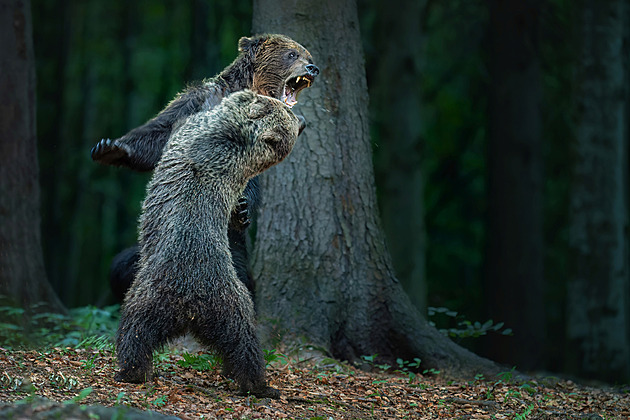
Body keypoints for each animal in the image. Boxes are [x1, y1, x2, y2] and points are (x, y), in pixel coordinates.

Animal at [92, 34, 320, 300]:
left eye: (308, 55)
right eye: (292, 54)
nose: (312, 68)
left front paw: (242, 208)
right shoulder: (197, 102)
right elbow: (159, 132)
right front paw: (110, 148)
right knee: (124, 264)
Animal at [116, 89, 304, 398]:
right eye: (287, 114)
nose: (302, 120)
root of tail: (193, 304)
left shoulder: (196, 132)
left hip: (156, 292)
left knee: (134, 331)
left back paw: (131, 371)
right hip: (228, 307)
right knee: (243, 345)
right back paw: (258, 384)